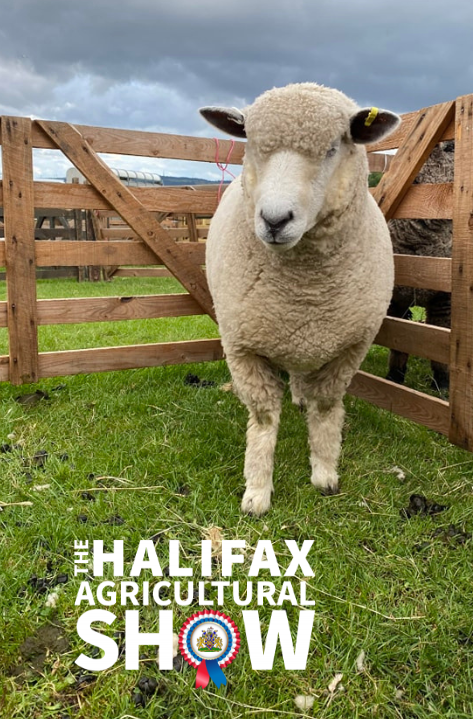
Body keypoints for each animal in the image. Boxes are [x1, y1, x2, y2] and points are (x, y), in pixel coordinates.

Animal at [200, 83, 400, 515]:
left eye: (332, 148)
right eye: (252, 145)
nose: (275, 220)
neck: (305, 293)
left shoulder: (350, 347)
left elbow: (326, 409)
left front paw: (324, 473)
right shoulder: (241, 346)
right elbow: (262, 418)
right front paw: (257, 491)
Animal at [387, 141, 453, 391]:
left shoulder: (445, 301)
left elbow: (440, 347)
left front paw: (442, 385)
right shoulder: (398, 297)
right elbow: (400, 341)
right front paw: (394, 377)